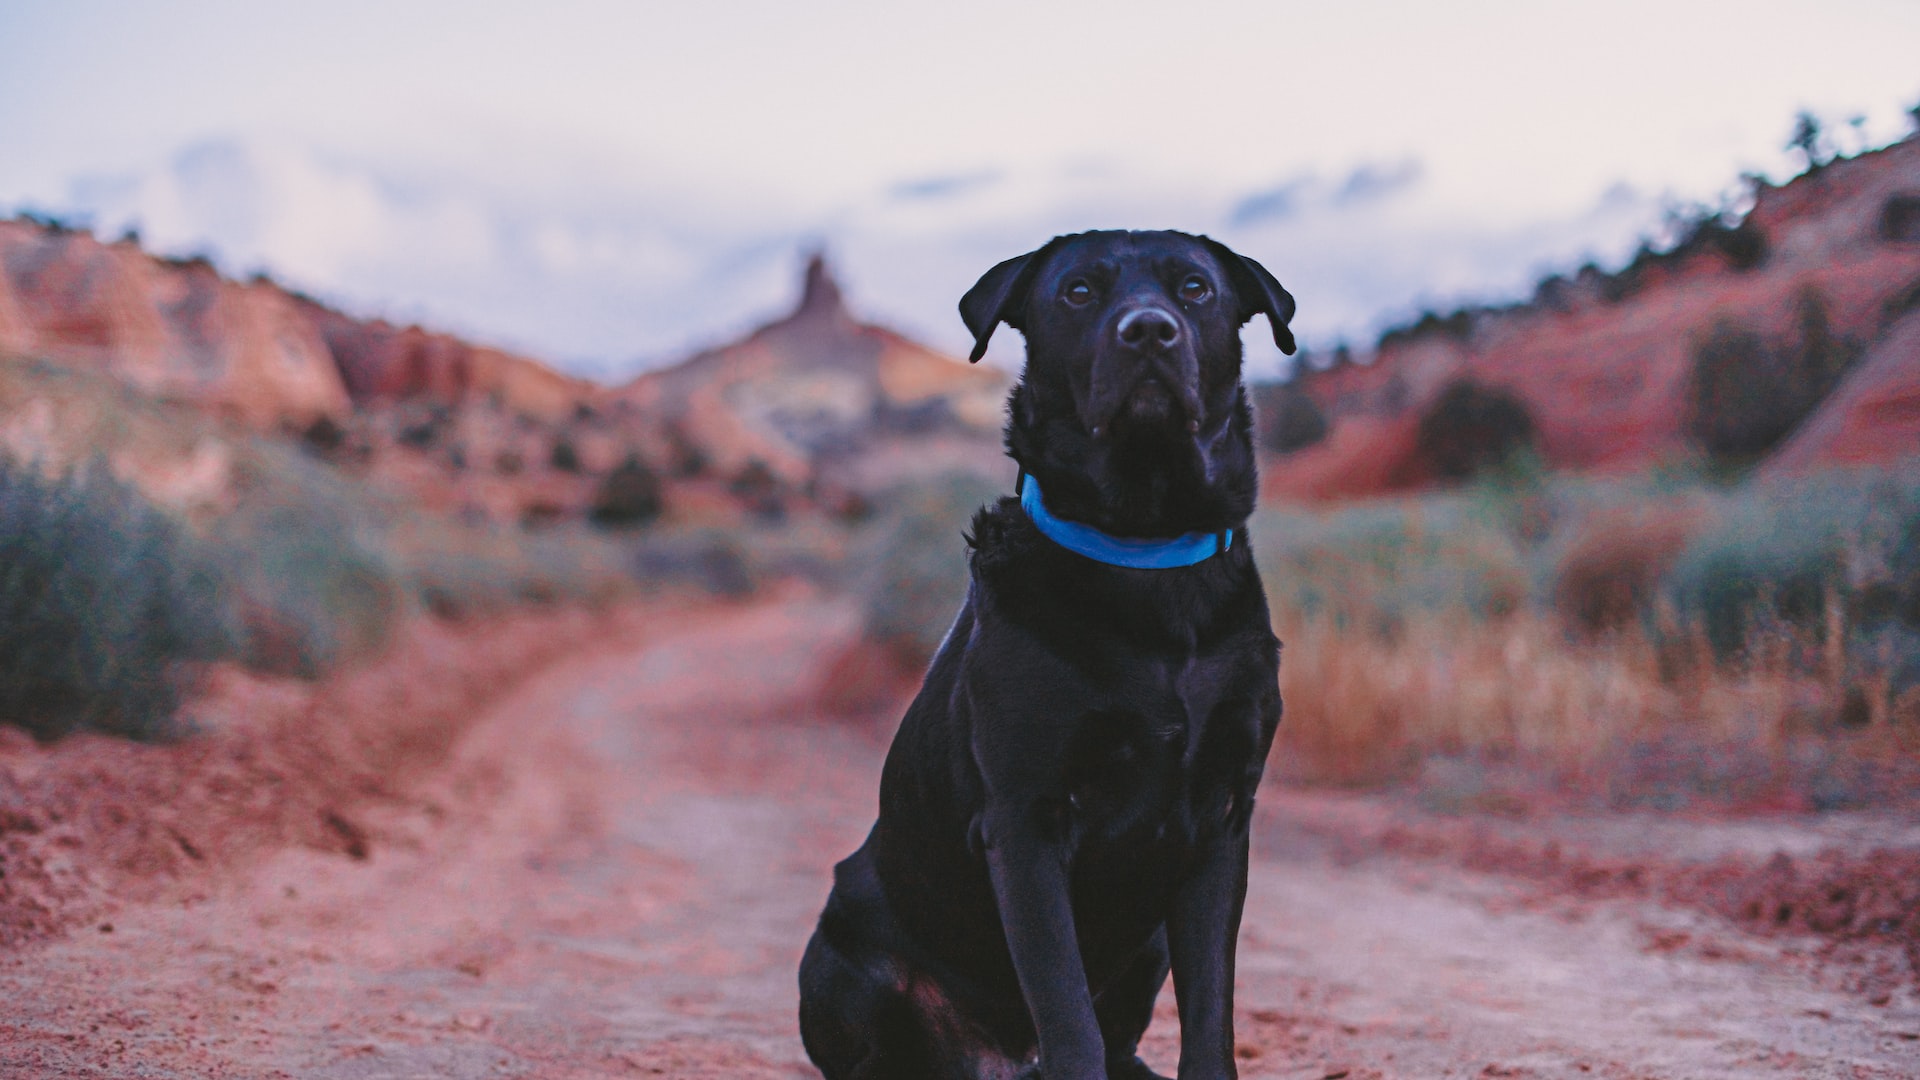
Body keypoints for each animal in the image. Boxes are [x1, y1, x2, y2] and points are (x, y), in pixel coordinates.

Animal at [794, 228, 1290, 1076]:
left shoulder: (1224, 817)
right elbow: (1065, 1011)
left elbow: (1209, 1017)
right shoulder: (1026, 822)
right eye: (1080, 292)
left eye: (1195, 288)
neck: (1144, 550)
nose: (1148, 332)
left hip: (1149, 942)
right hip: (840, 949)